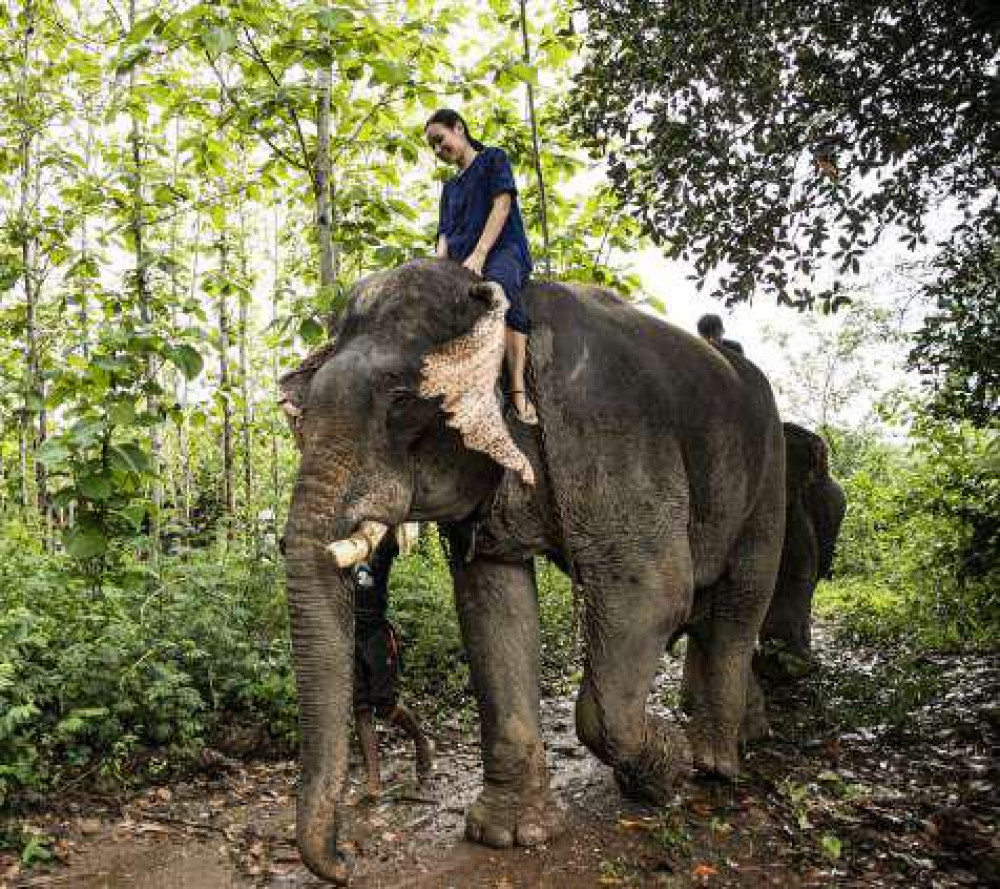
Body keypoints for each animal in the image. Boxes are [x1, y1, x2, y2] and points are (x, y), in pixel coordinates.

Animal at [278, 256, 784, 880]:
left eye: (401, 403)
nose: (348, 858)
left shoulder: (613, 433)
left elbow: (655, 593)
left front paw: (668, 770)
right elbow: (493, 601)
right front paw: (511, 834)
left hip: (771, 471)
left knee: (740, 602)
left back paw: (714, 763)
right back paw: (741, 734)